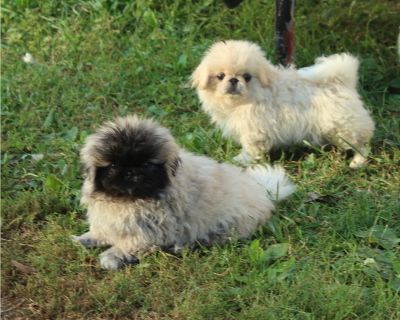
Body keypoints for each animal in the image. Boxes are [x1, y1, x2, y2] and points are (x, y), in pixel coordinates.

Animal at [73, 115, 296, 270]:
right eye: (113, 166)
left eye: (147, 164)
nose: (132, 171)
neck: (130, 199)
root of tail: (263, 192)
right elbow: (102, 232)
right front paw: (86, 239)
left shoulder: (149, 232)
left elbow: (128, 245)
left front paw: (112, 256)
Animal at [191, 40, 376, 168]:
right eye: (220, 76)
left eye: (247, 77)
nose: (234, 80)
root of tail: (344, 81)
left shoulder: (255, 131)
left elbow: (251, 149)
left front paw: (242, 160)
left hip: (344, 127)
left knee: (361, 145)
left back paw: (357, 162)